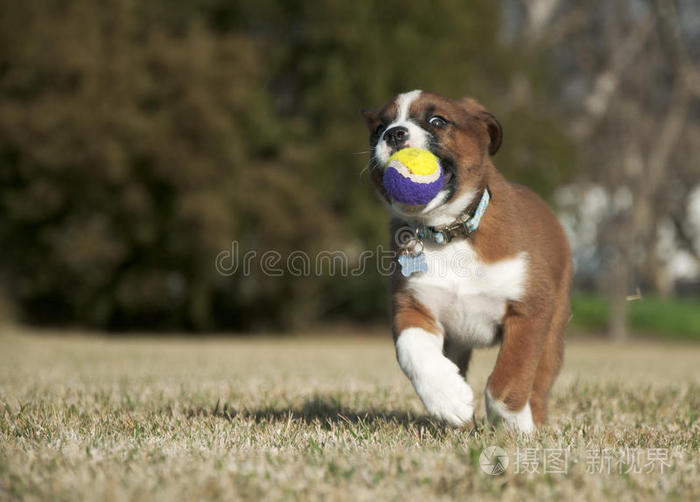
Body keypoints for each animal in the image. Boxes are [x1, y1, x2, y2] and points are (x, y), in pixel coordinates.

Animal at [364, 90, 572, 432]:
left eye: (437, 121)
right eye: (379, 127)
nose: (394, 133)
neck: (449, 232)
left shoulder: (530, 310)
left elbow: (510, 375)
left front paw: (513, 425)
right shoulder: (412, 307)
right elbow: (411, 350)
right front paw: (448, 399)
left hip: (553, 331)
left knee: (540, 383)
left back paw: (536, 423)